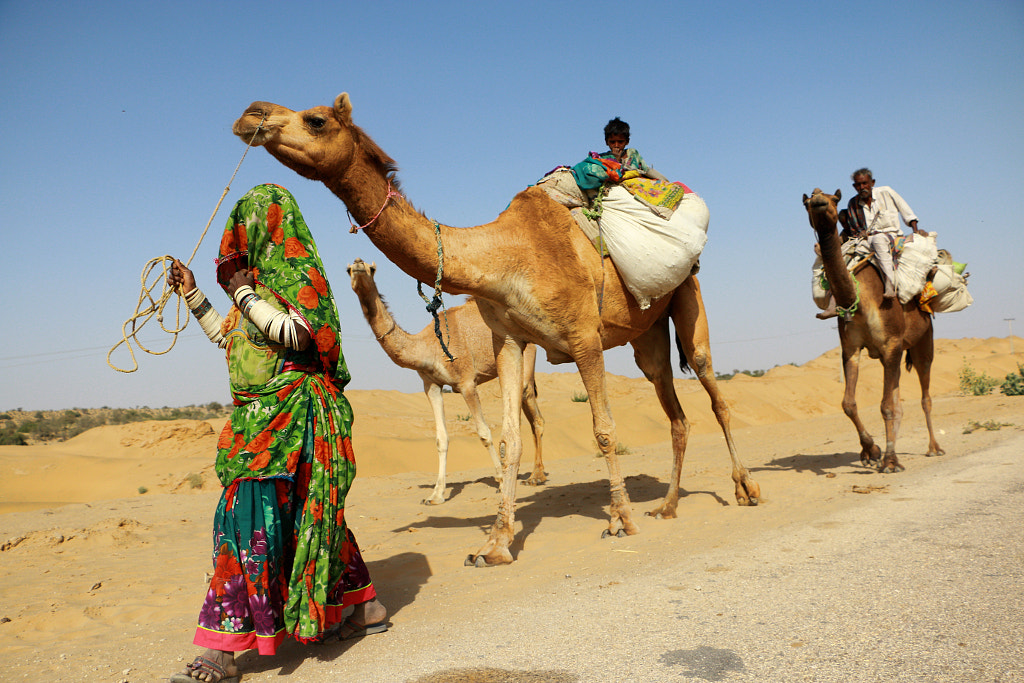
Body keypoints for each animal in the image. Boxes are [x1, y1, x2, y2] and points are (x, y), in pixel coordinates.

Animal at [348, 255, 548, 501]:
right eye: (348, 269)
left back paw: (535, 477)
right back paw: (534, 475)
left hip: (527, 361)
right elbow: (441, 439)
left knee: (535, 415)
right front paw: (436, 495)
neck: (428, 347)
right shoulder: (431, 385)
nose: (358, 263)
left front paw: (501, 480)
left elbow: (484, 433)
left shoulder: (466, 382)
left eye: (372, 269)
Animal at [798, 189, 942, 473]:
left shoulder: (891, 344)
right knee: (898, 400)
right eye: (808, 201)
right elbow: (849, 404)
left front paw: (889, 461)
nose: (819, 201)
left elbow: (885, 406)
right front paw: (872, 451)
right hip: (897, 353)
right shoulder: (851, 348)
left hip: (924, 338)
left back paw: (934, 448)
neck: (860, 298)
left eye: (834, 199)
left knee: (925, 394)